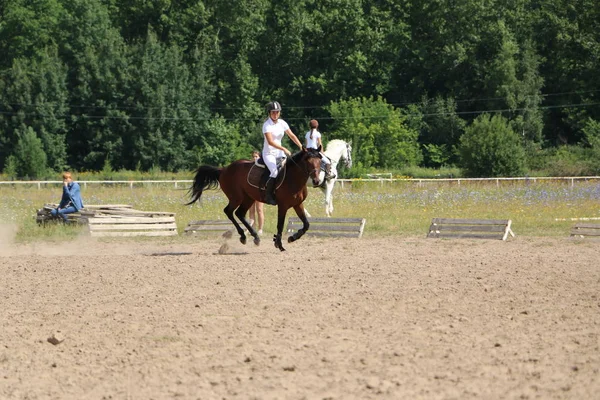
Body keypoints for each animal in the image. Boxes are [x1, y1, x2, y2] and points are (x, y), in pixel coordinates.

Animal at [188, 148, 324, 250]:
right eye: (308, 161)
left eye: (319, 161)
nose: (317, 181)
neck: (293, 178)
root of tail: (224, 170)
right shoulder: (283, 206)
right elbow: (280, 225)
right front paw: (279, 244)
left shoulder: (298, 204)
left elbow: (306, 224)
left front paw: (292, 238)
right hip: (236, 197)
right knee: (229, 211)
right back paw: (244, 236)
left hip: (248, 198)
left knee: (239, 213)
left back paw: (254, 237)